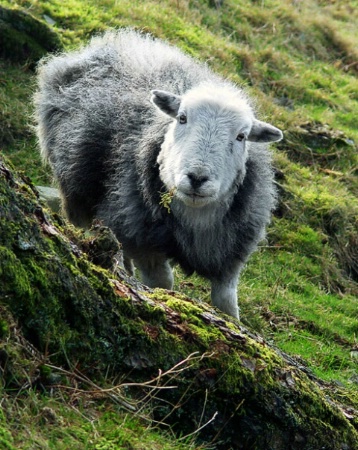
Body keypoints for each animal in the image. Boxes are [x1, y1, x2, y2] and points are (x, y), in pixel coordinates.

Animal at [35, 29, 284, 318]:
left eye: (242, 136)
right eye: (182, 118)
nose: (197, 178)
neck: (196, 218)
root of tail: (114, 41)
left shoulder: (231, 254)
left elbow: (226, 303)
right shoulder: (142, 238)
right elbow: (163, 284)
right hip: (80, 191)